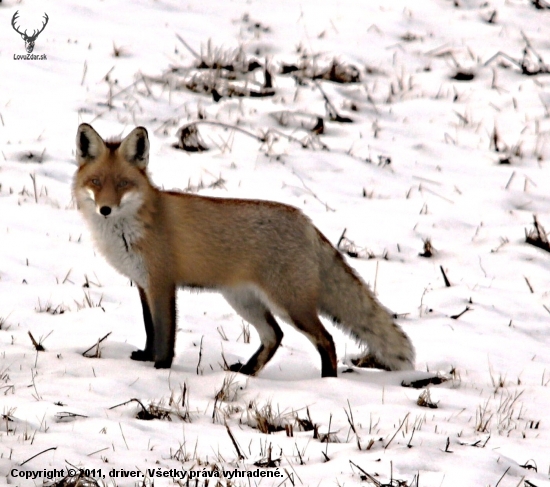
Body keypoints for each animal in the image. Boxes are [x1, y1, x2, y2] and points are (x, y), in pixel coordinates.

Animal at [73, 124, 416, 376]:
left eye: (122, 184)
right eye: (96, 181)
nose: (105, 209)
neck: (130, 228)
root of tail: (305, 222)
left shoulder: (162, 283)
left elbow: (165, 334)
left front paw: (160, 367)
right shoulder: (143, 284)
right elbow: (150, 328)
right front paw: (146, 358)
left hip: (290, 305)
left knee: (326, 340)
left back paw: (327, 381)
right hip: (244, 300)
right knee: (274, 336)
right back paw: (247, 372)